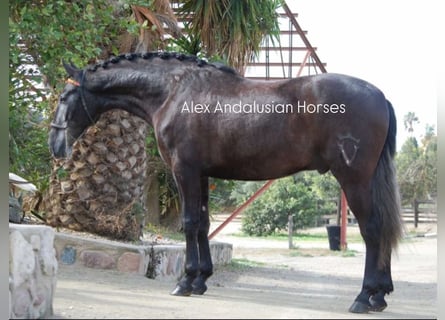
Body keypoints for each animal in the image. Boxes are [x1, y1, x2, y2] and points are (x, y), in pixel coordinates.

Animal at [47, 51, 402, 314]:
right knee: (383, 227)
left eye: (65, 96)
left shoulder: (184, 170)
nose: (54, 144)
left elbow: (190, 222)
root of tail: (380, 97)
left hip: (353, 179)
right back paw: (379, 296)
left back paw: (363, 297)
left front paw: (185, 282)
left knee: (372, 230)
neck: (174, 92)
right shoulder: (202, 174)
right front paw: (201, 279)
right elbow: (203, 222)